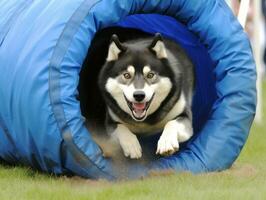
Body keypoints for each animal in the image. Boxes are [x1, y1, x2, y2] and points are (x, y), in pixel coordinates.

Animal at [96, 31, 194, 159]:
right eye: (127, 75)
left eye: (150, 75)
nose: (139, 95)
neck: (145, 122)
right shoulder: (110, 122)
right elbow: (121, 127)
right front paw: (132, 145)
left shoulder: (185, 117)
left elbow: (171, 123)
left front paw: (166, 142)